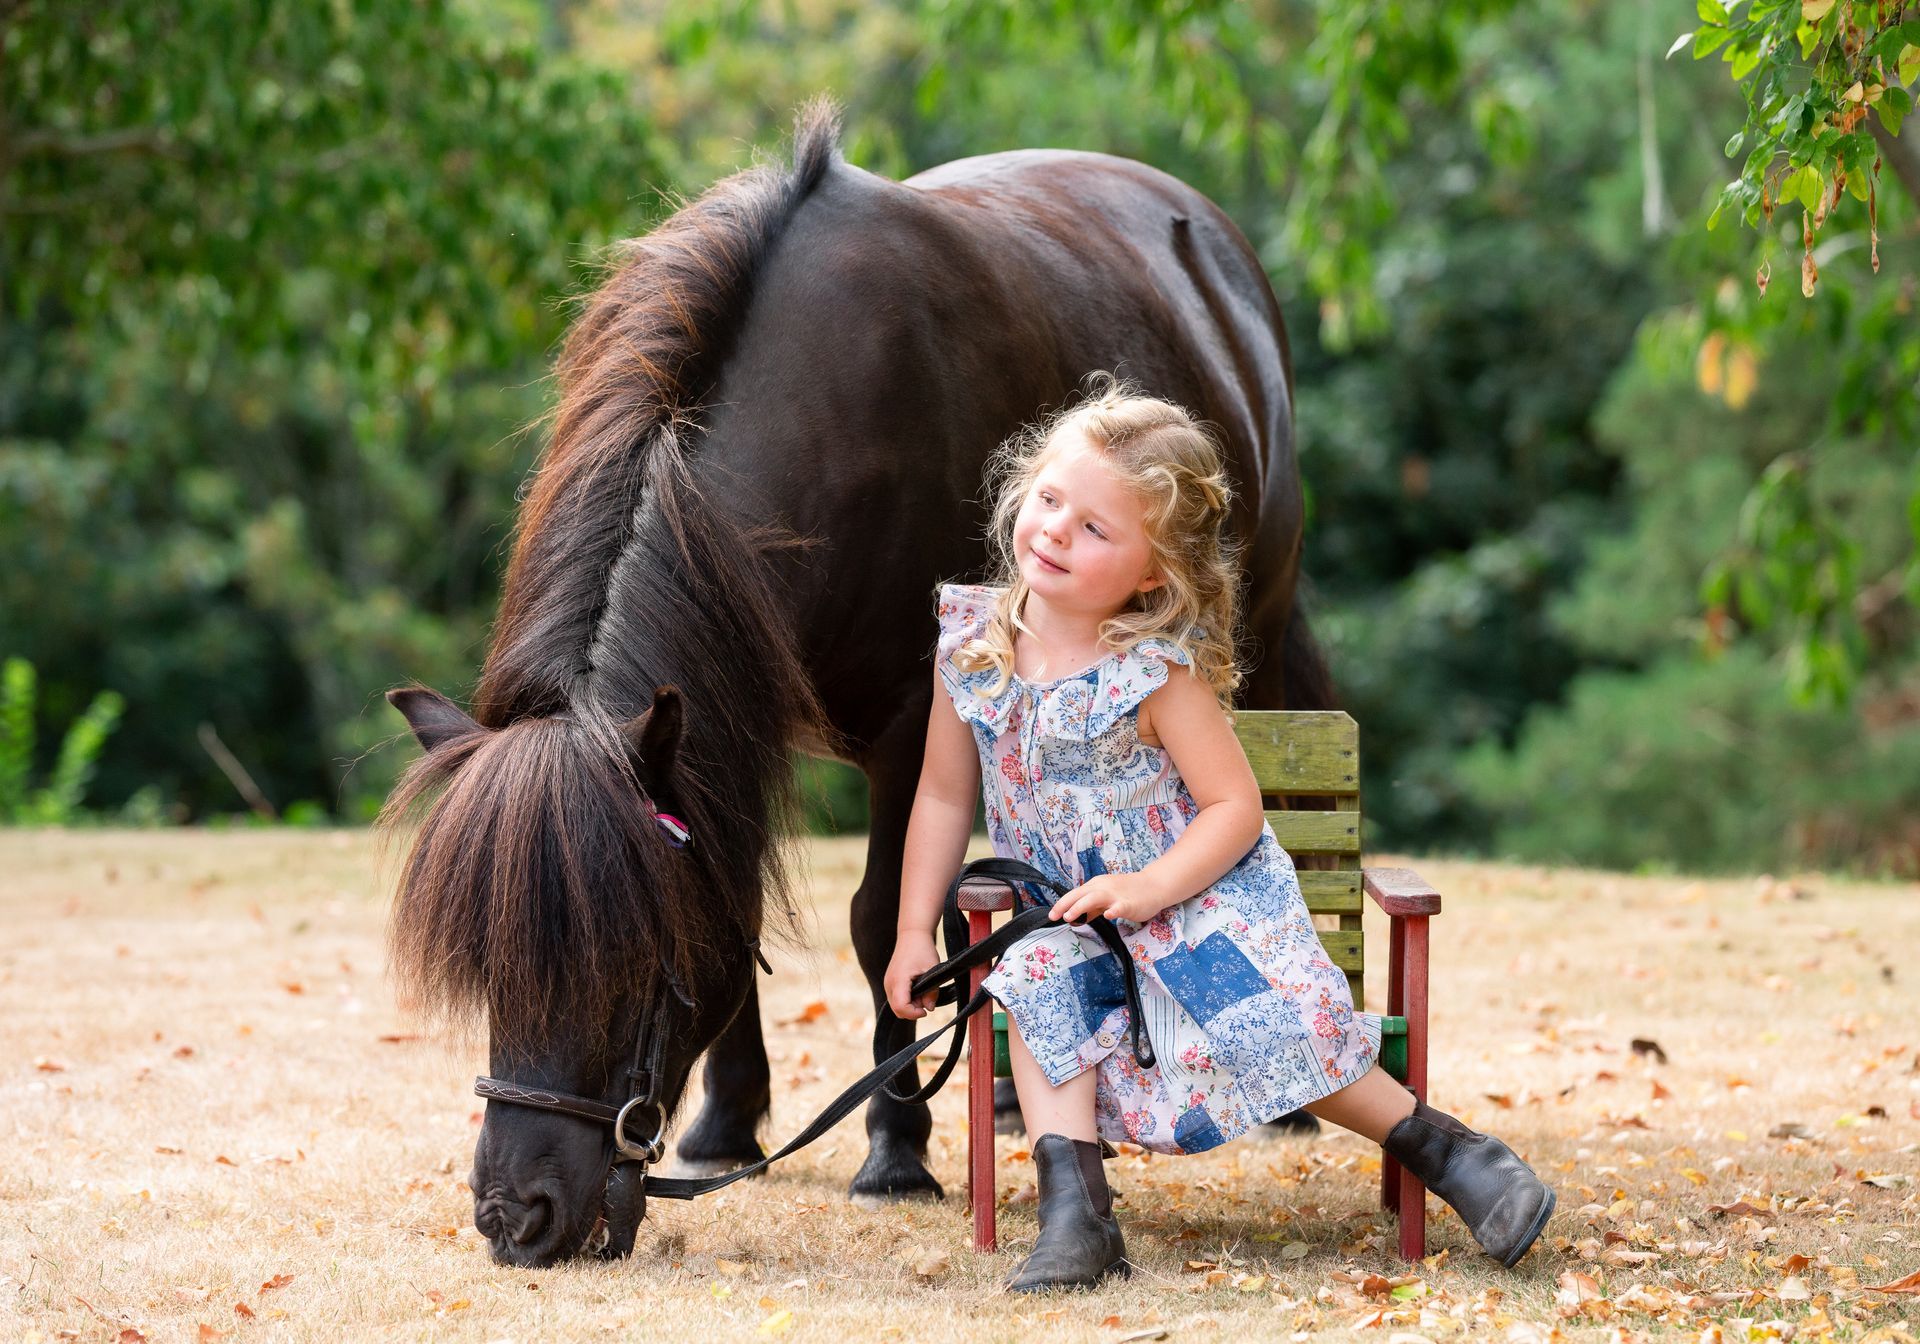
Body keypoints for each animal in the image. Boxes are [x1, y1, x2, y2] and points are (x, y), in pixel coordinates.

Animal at [381, 99, 1335, 1267]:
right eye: (487, 966)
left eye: (628, 958)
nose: (516, 1215)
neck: (827, 409)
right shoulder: (734, 722)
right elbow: (746, 902)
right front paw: (726, 1124)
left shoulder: (911, 731)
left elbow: (888, 924)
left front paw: (894, 1151)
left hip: (1255, 635)